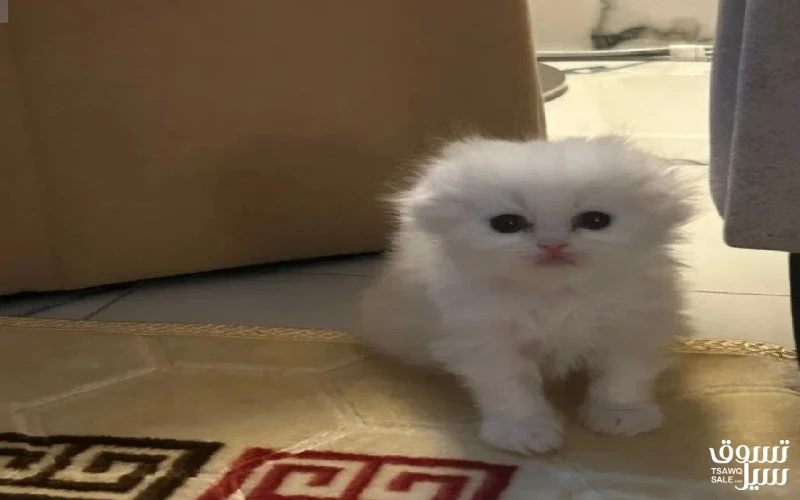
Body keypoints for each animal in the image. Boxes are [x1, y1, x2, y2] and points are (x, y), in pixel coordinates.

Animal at [359, 136, 694, 454]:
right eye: (507, 224)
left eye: (595, 220)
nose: (553, 245)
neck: (557, 296)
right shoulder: (487, 340)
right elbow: (510, 389)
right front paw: (524, 432)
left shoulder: (634, 326)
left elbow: (623, 375)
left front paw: (621, 413)